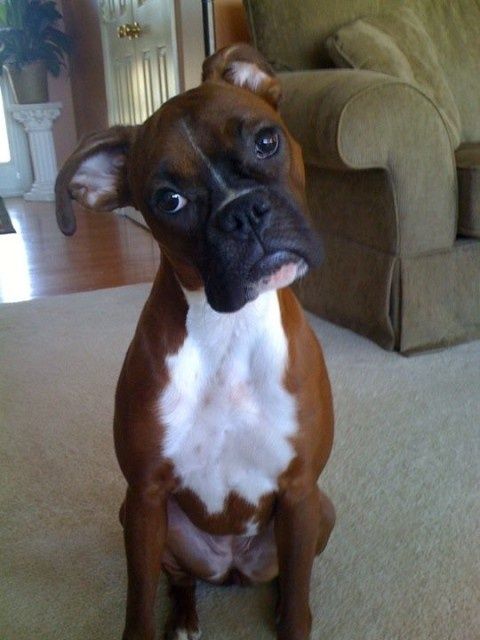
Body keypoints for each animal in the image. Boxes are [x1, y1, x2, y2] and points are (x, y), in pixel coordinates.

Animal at [55, 45, 334, 640]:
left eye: (267, 141)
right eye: (170, 200)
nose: (243, 211)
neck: (229, 329)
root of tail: (230, 569)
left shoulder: (300, 491)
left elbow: (298, 593)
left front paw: (293, 617)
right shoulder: (144, 497)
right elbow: (138, 603)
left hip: (320, 512)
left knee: (288, 577)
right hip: (148, 525)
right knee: (181, 581)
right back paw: (183, 619)